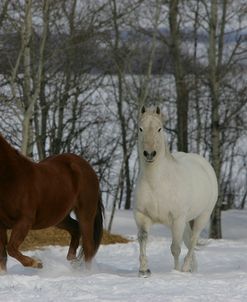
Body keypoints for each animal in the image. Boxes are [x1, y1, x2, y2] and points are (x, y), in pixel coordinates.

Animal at [0, 133, 103, 272]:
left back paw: (86, 272)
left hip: (85, 214)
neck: (12, 178)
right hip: (59, 217)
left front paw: (37, 263)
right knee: (76, 229)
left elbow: (11, 248)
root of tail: (88, 168)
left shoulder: (24, 221)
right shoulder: (1, 225)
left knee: (88, 247)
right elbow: (3, 256)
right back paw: (72, 259)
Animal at [134, 105, 217, 276]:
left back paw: (185, 268)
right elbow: (143, 238)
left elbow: (175, 249)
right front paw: (144, 270)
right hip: (185, 222)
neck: (156, 183)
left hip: (201, 217)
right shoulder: (141, 215)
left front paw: (176, 272)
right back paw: (192, 268)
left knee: (192, 241)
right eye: (140, 128)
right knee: (189, 241)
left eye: (159, 129)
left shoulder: (177, 219)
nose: (149, 154)